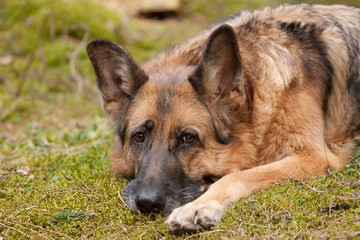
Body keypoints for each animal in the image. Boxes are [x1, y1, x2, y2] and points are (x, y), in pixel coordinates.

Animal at [87, 3, 360, 232]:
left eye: (188, 138)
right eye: (139, 136)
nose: (146, 203)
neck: (254, 98)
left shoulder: (314, 156)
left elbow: (239, 174)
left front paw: (198, 207)